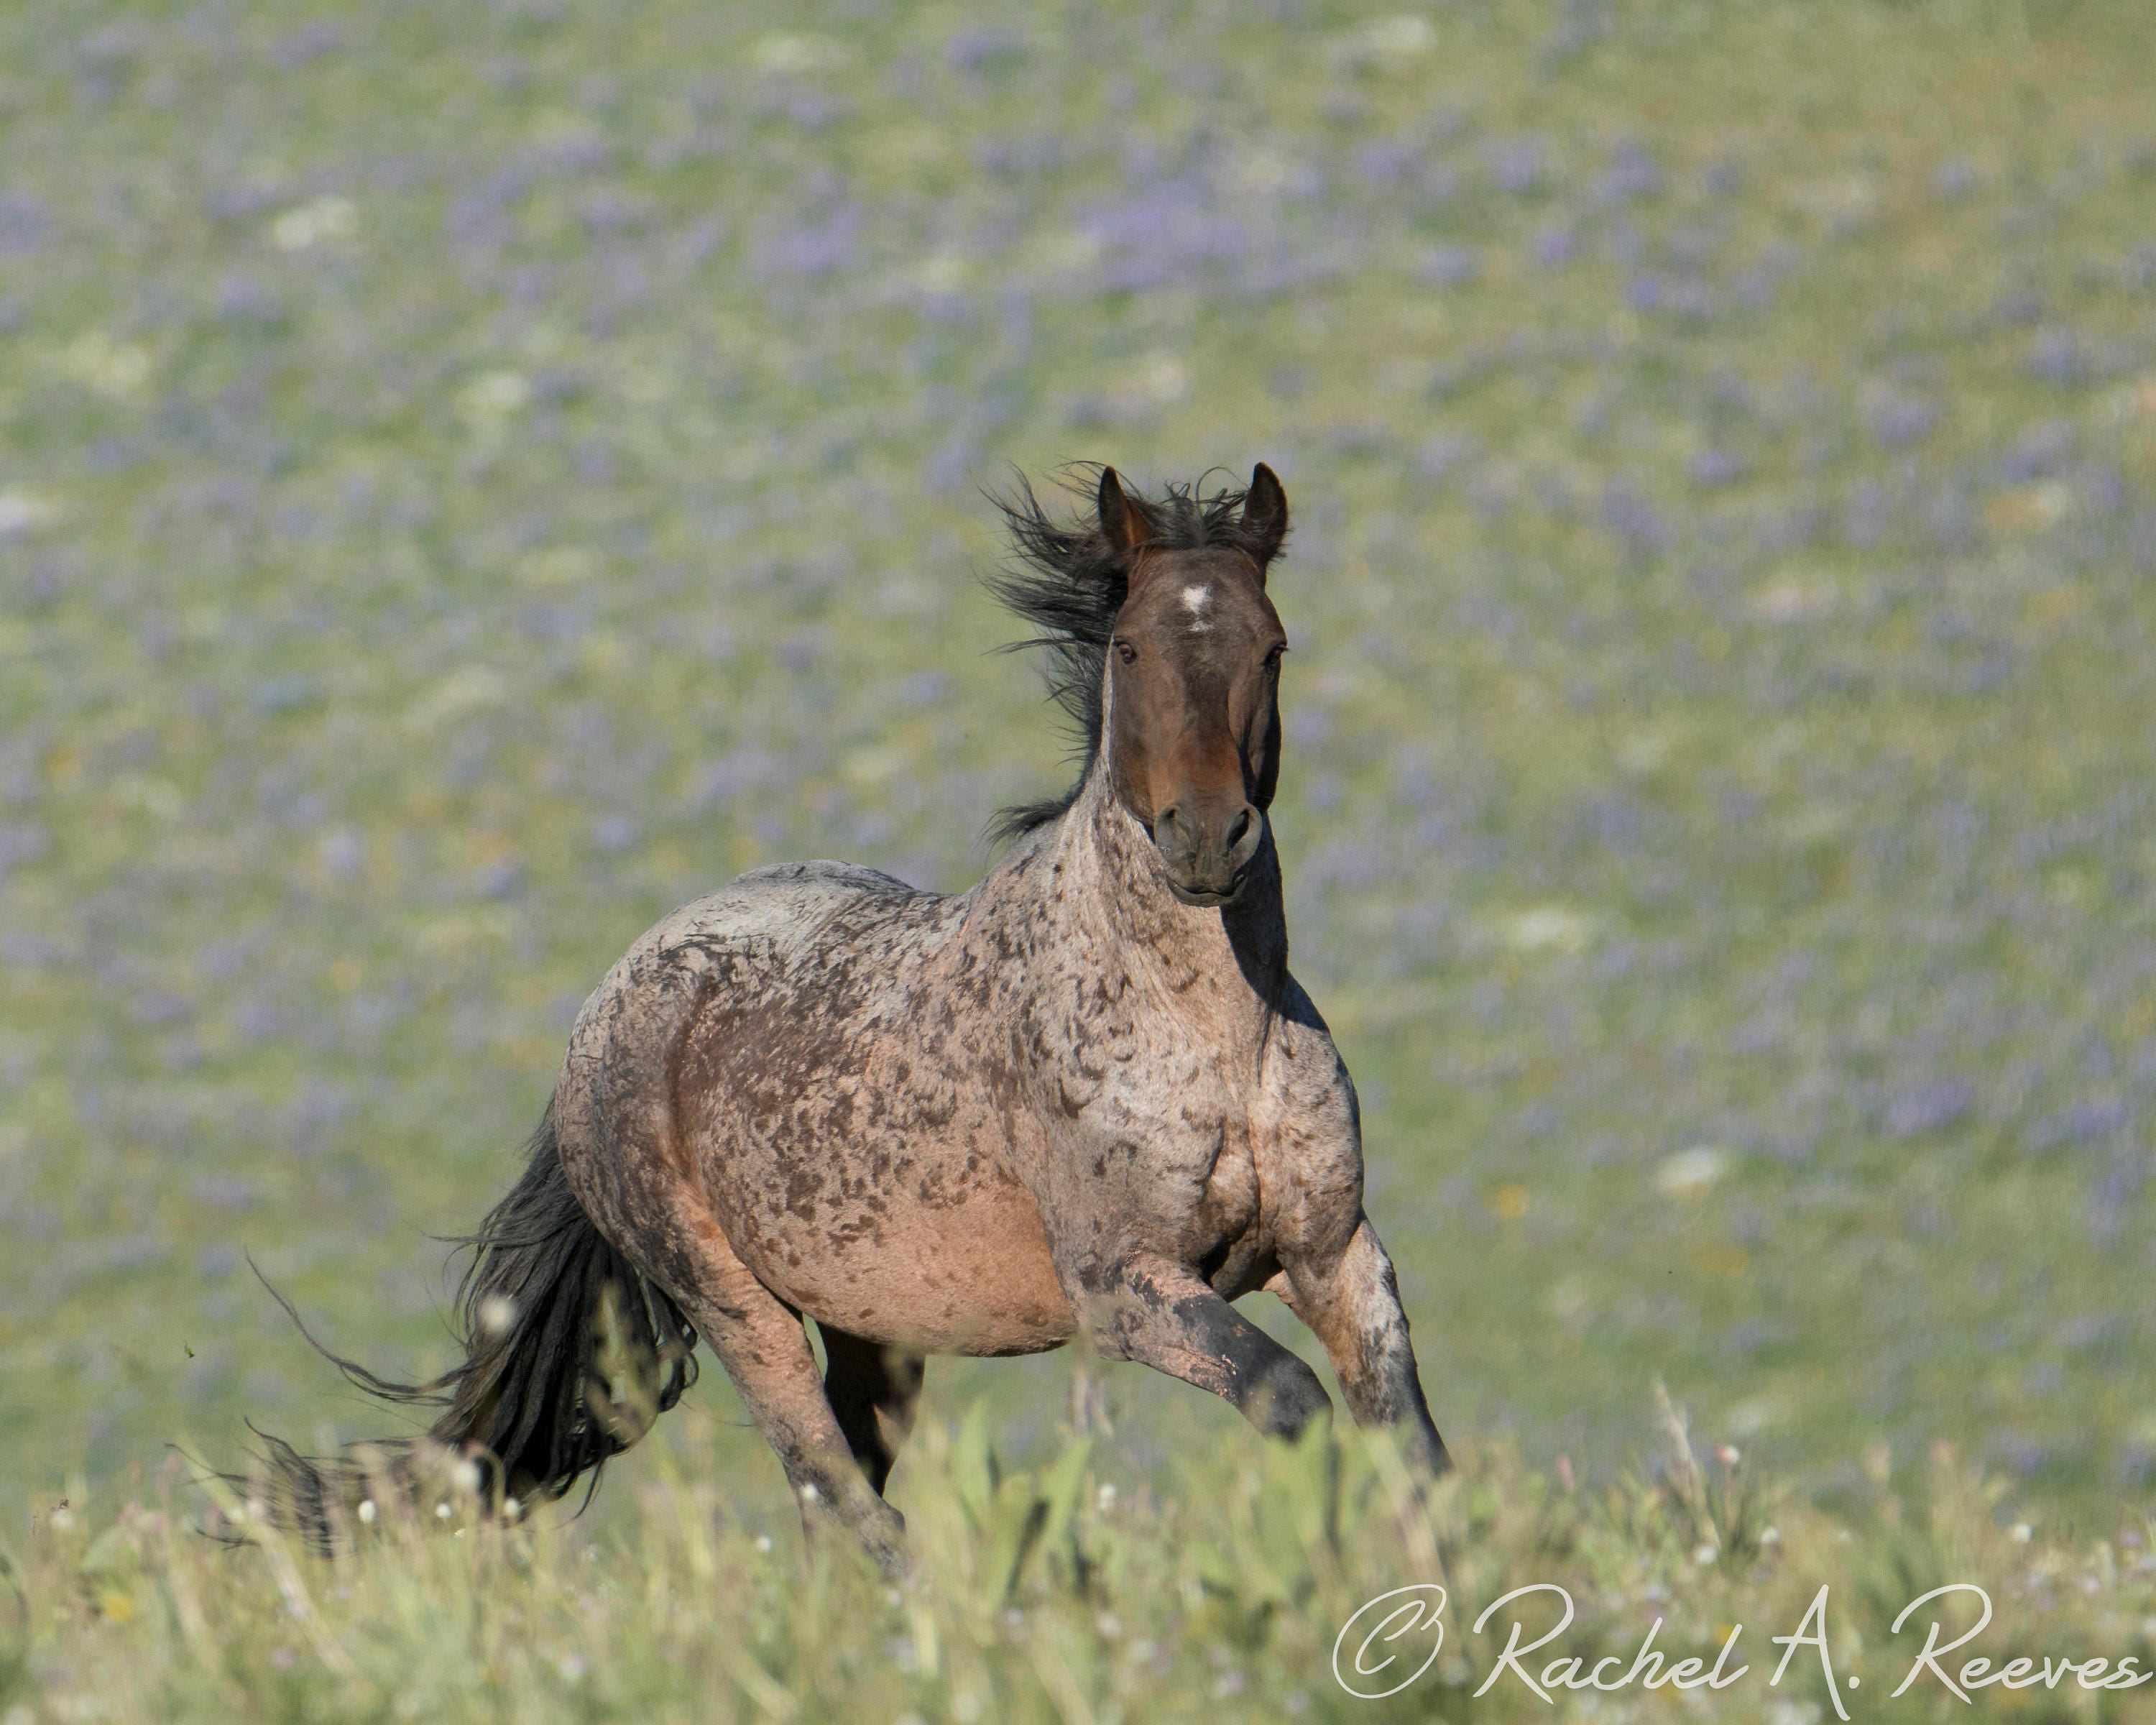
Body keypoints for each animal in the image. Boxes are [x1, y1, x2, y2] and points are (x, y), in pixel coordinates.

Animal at [248, 463, 1448, 1572]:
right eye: (1130, 649)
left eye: (1273, 646)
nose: (1205, 838)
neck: (1212, 1035)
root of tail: (604, 1014)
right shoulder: (1128, 1287)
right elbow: (1293, 1404)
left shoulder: (1336, 1254)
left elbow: (1415, 1453)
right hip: (742, 1312)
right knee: (846, 1510)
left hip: (873, 1330)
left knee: (845, 1508)